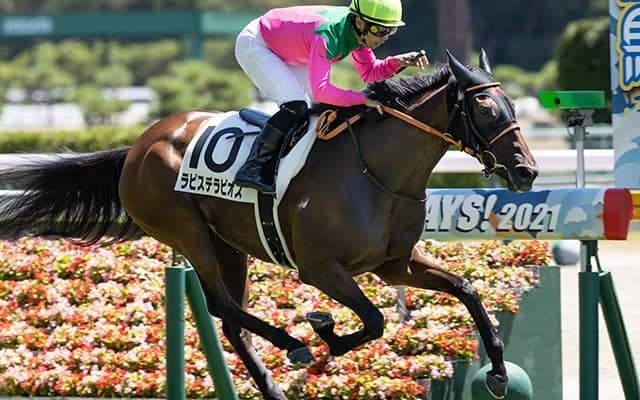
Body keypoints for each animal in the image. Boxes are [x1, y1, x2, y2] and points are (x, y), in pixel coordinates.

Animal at [0, 50, 538, 400]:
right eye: (485, 108)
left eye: (513, 106)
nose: (526, 171)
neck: (377, 172)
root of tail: (136, 145)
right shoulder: (320, 268)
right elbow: (374, 320)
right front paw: (323, 329)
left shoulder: (395, 265)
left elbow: (465, 289)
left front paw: (497, 372)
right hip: (185, 231)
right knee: (222, 305)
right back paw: (293, 344)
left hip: (228, 245)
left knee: (229, 319)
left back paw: (274, 384)